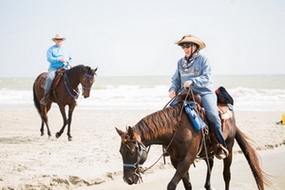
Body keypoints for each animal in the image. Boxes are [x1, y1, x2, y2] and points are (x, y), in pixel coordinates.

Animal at [115, 92, 268, 190]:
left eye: (131, 152)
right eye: (120, 152)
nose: (127, 180)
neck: (176, 129)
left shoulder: (187, 159)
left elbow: (172, 185)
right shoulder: (176, 161)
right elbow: (187, 185)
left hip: (228, 148)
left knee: (226, 175)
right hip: (206, 151)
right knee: (210, 163)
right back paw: (208, 186)